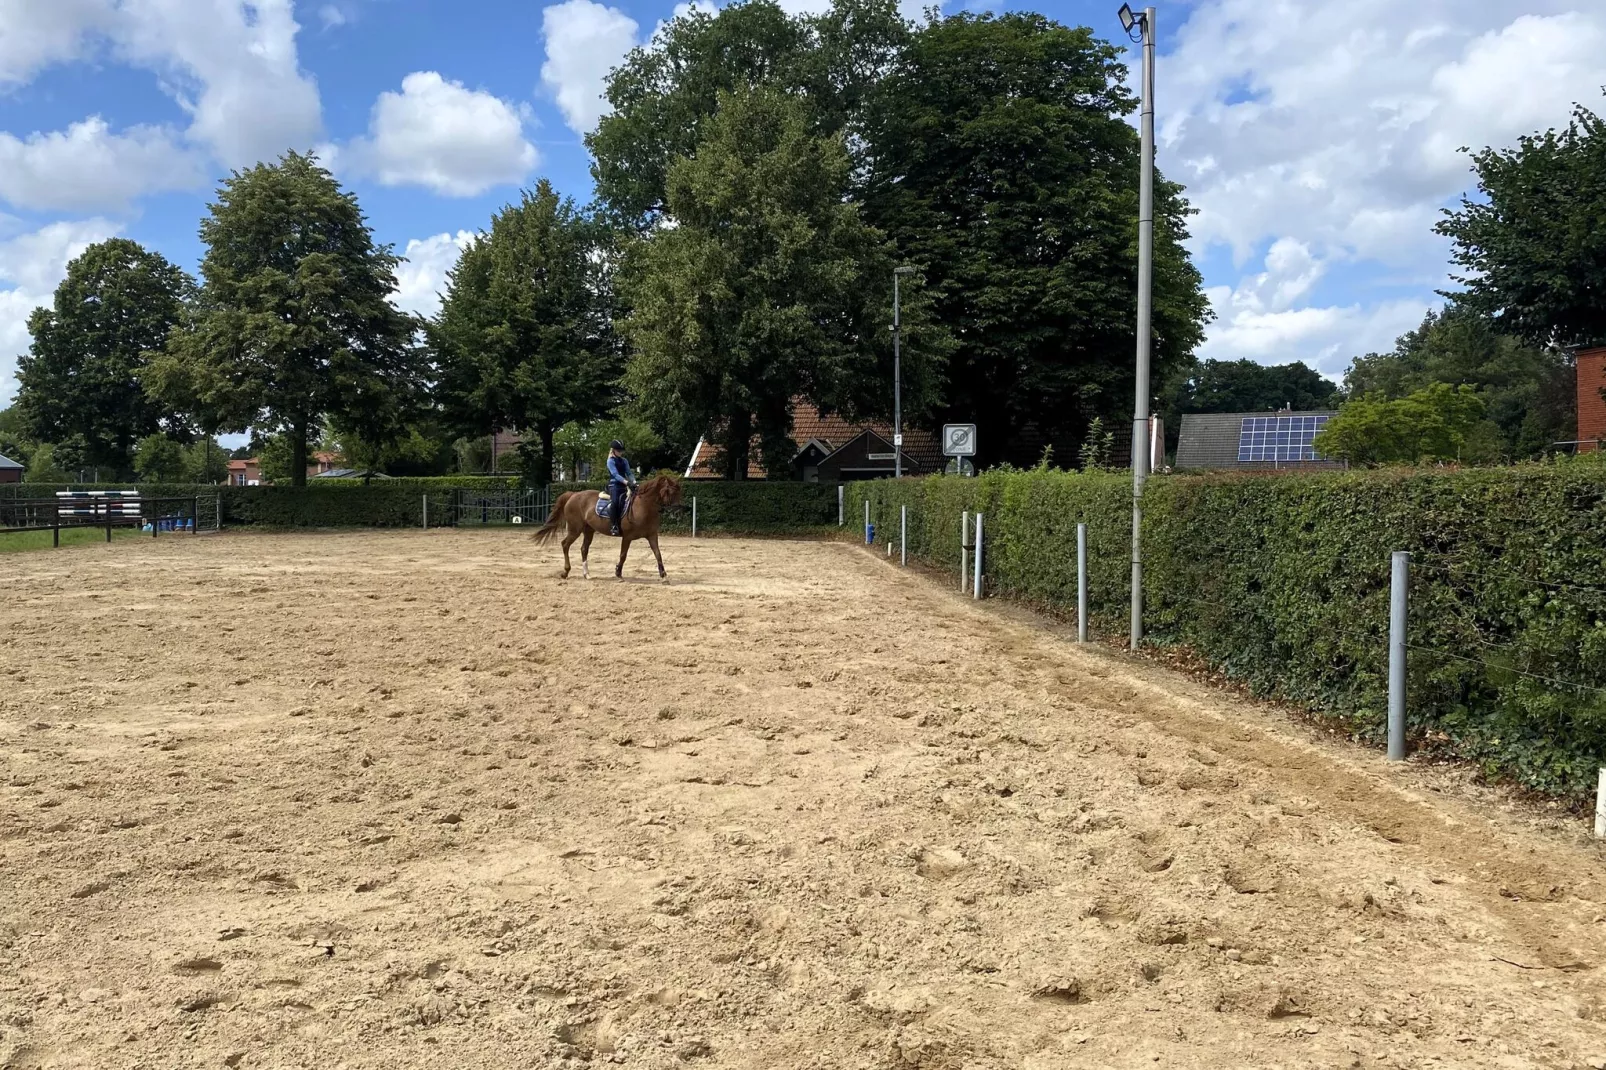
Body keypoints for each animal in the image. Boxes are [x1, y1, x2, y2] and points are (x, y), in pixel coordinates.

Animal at [526, 472, 677, 578]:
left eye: (677, 491)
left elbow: (657, 553)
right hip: (575, 529)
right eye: (667, 490)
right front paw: (618, 573)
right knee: (565, 545)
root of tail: (573, 495)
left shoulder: (652, 535)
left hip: (588, 531)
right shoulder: (627, 537)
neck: (643, 506)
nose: (674, 510)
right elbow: (623, 555)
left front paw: (664, 575)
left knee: (583, 549)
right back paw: (566, 572)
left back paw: (587, 574)